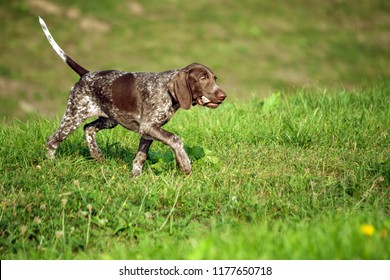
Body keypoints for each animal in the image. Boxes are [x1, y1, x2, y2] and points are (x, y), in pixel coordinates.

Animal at [38, 16, 227, 176]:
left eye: (214, 78)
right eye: (203, 78)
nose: (223, 95)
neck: (167, 92)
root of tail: (86, 74)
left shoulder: (149, 132)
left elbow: (140, 157)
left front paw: (135, 178)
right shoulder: (148, 126)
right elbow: (175, 139)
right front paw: (184, 164)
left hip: (110, 119)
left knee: (88, 128)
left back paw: (96, 153)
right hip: (74, 115)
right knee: (53, 140)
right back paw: (51, 164)